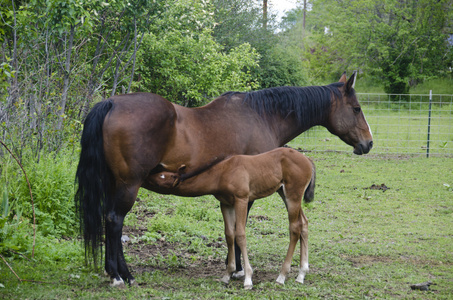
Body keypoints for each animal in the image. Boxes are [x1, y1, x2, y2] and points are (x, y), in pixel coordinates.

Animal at [148, 146, 314, 290]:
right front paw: (227, 275)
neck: (222, 173)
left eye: (163, 176)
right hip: (284, 193)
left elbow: (240, 235)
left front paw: (248, 279)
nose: (148, 174)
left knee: (295, 228)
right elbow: (229, 235)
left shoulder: (242, 200)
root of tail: (308, 160)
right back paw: (301, 274)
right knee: (304, 223)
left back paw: (282, 276)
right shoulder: (226, 204)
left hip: (293, 195)